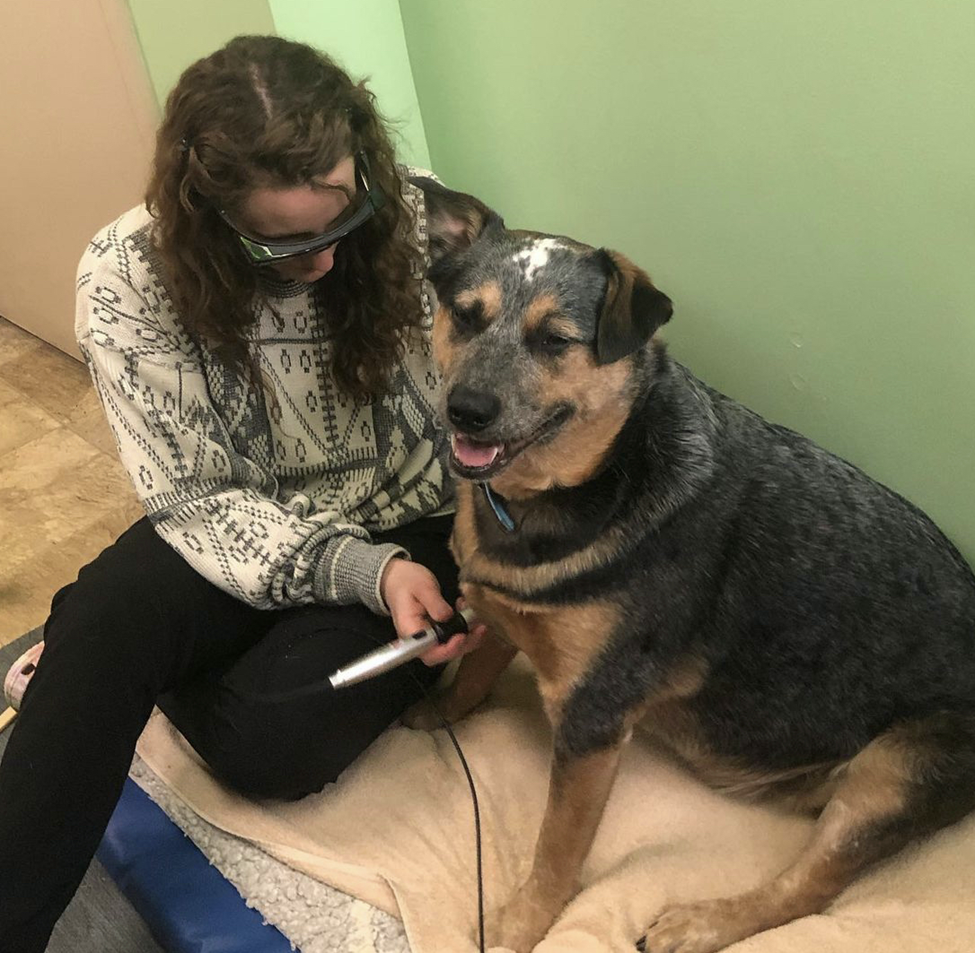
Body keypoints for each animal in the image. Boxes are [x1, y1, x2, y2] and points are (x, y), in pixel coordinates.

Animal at [404, 180, 975, 952]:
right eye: (465, 316)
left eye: (555, 340)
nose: (465, 410)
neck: (588, 482)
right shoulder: (501, 611)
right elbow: (475, 670)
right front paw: (439, 710)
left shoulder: (593, 719)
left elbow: (556, 847)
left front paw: (524, 920)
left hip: (895, 769)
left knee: (808, 892)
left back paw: (703, 921)